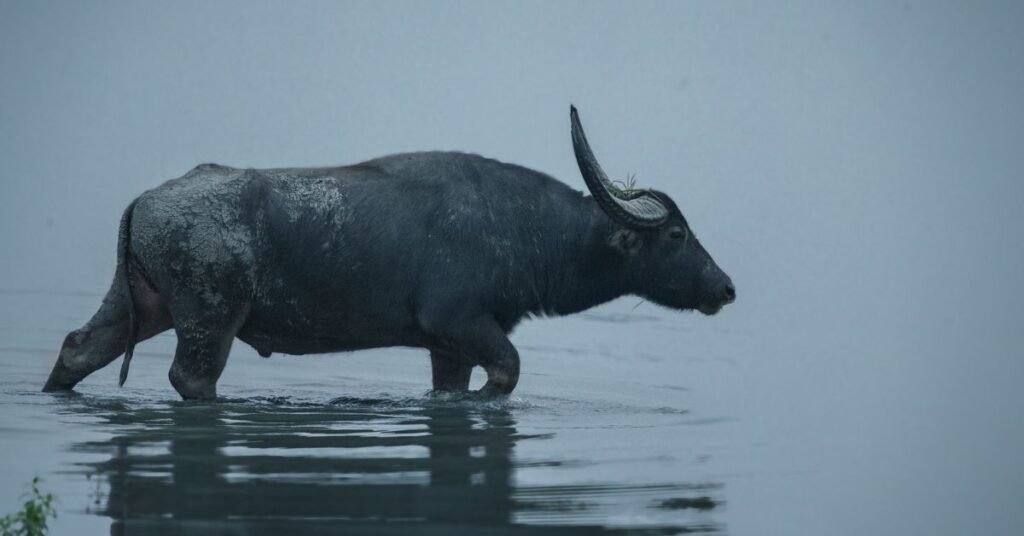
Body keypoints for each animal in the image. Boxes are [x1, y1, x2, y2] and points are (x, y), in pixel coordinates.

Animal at [43, 107, 735, 400]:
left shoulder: (449, 348)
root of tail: (146, 199)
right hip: (208, 318)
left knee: (78, 347)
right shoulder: (461, 324)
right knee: (193, 378)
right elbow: (508, 373)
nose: (725, 287)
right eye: (677, 236)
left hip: (139, 303)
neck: (531, 230)